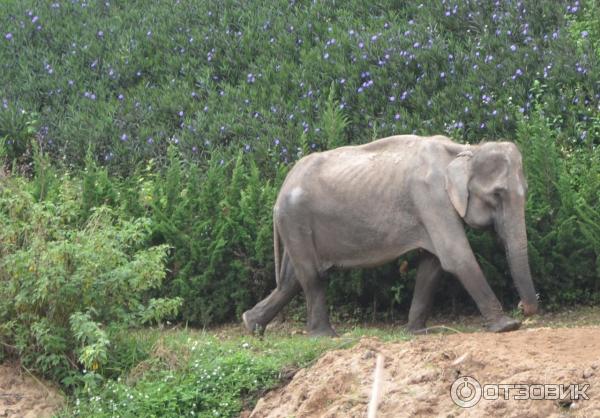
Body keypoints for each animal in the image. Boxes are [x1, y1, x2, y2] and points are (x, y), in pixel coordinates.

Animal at [241, 134, 536, 336]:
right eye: (497, 194)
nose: (523, 308)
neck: (465, 150)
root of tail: (283, 185)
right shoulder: (430, 197)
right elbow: (455, 257)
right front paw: (507, 326)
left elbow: (433, 265)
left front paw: (418, 332)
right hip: (296, 219)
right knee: (312, 276)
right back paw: (324, 336)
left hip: (294, 223)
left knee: (291, 280)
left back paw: (251, 326)